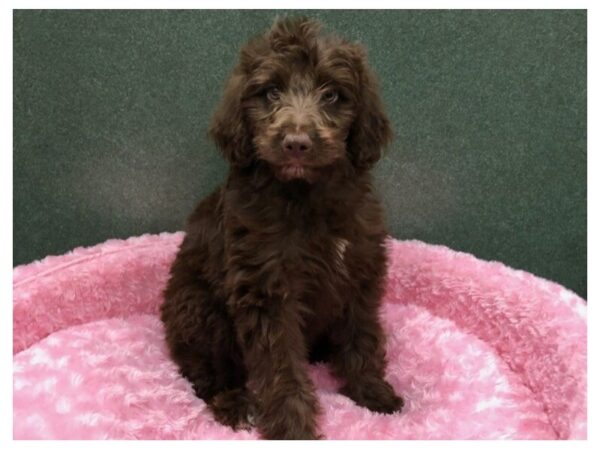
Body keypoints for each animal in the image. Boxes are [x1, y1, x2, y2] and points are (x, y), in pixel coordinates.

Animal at [159, 17, 404, 440]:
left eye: (331, 95)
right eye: (271, 92)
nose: (296, 143)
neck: (305, 193)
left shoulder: (360, 269)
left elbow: (363, 335)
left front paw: (372, 393)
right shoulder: (266, 290)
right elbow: (281, 367)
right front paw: (294, 429)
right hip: (198, 307)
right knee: (207, 374)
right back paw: (235, 405)